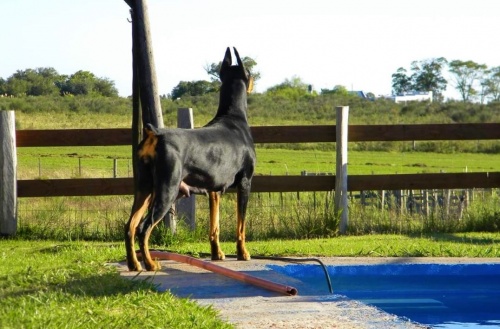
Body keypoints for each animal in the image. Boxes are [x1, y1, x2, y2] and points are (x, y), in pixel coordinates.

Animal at [124, 46, 256, 272]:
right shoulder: (245, 183)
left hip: (143, 189)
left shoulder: (214, 190)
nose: (254, 81)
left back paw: (134, 264)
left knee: (130, 226)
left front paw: (217, 254)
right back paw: (151, 263)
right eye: (249, 72)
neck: (234, 117)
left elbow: (215, 226)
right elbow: (241, 225)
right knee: (144, 227)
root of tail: (153, 134)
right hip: (166, 190)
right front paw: (243, 253)